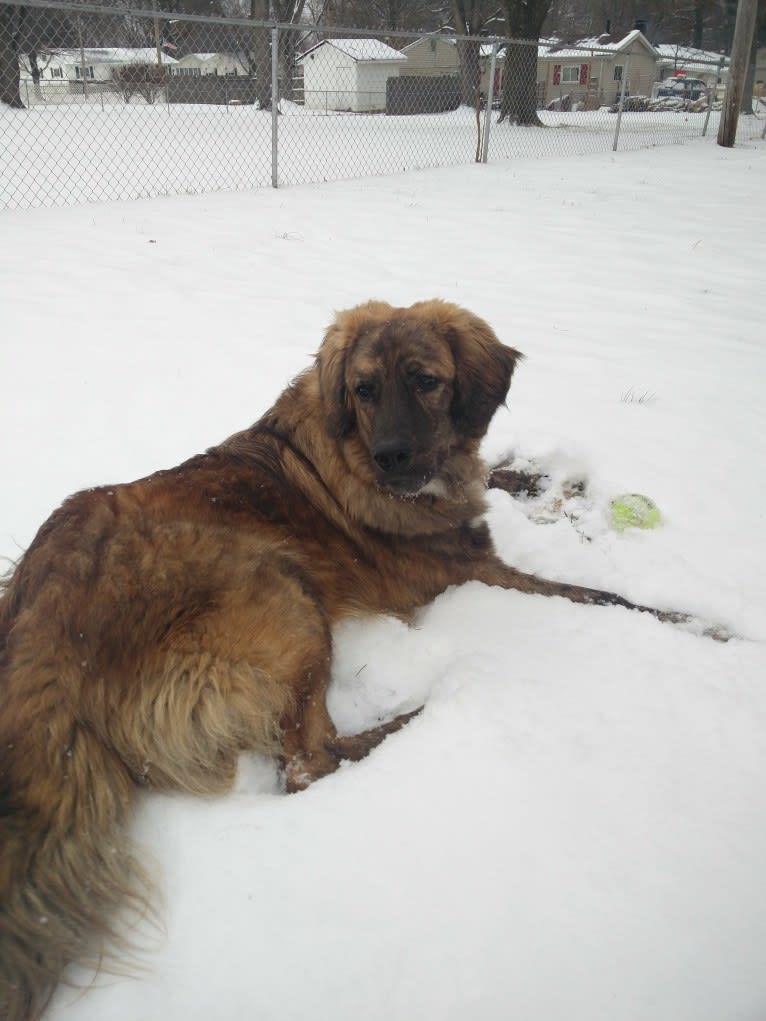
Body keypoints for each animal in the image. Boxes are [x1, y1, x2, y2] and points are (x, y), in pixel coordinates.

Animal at [1, 298, 702, 1016]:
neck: (353, 450)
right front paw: (703, 626)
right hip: (282, 592)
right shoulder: (473, 571)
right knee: (309, 762)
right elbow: (608, 597)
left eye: (425, 381)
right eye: (364, 390)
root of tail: (41, 629)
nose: (392, 457)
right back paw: (419, 715)